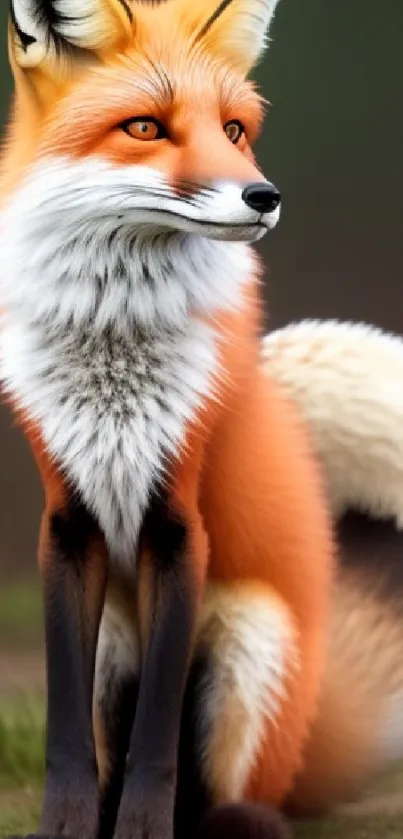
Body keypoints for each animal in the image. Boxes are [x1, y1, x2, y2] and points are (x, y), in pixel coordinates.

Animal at [0, 4, 338, 839]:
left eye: (234, 129)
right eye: (146, 127)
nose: (263, 195)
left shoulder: (178, 521)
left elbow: (157, 733)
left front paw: (142, 827)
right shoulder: (66, 519)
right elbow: (65, 723)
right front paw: (68, 822)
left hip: (250, 636)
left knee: (228, 797)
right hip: (116, 645)